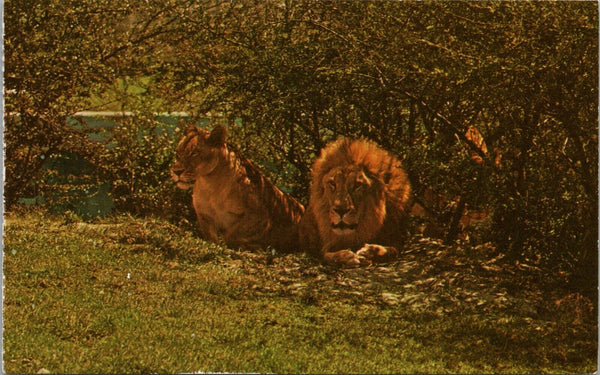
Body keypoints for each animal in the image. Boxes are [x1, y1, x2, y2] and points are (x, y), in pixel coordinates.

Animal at [172, 125, 304, 253]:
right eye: (178, 153)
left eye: (194, 153)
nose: (176, 171)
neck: (209, 184)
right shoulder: (203, 214)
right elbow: (211, 236)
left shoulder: (260, 218)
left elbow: (232, 234)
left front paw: (250, 246)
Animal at [300, 137, 412, 268]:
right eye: (332, 184)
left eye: (357, 185)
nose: (341, 210)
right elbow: (326, 255)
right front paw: (345, 256)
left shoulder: (396, 236)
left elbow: (393, 250)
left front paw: (371, 251)